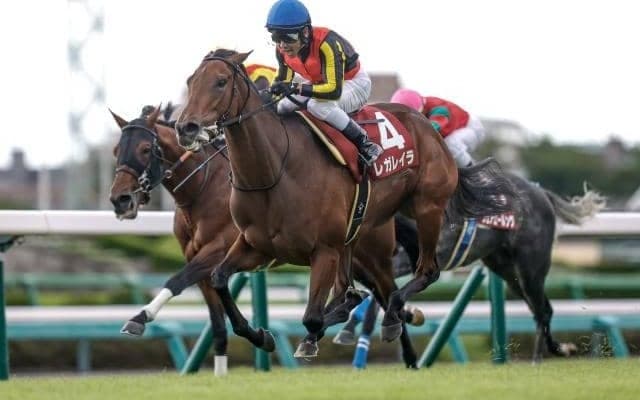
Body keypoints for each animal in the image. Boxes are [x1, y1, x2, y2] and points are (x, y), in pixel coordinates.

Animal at [108, 106, 426, 369]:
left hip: (371, 256)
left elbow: (177, 280)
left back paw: (406, 347)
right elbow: (218, 328)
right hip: (349, 257)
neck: (203, 189)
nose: (120, 200)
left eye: (145, 149)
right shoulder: (199, 257)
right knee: (367, 294)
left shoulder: (217, 249)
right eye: (115, 150)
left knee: (386, 292)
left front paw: (139, 318)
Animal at [174, 48, 517, 357]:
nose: (185, 127)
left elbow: (313, 317)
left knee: (421, 275)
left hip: (424, 209)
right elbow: (219, 279)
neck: (275, 170)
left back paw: (393, 317)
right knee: (359, 288)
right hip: (357, 234)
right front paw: (261, 336)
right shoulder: (255, 245)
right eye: (190, 80)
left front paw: (312, 333)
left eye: (220, 82)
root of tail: (428, 128)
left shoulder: (323, 250)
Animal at [334, 175, 606, 364]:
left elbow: (383, 295)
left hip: (530, 268)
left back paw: (538, 359)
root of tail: (540, 192)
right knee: (540, 309)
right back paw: (558, 350)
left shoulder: (404, 259)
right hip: (506, 269)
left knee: (543, 309)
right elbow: (373, 295)